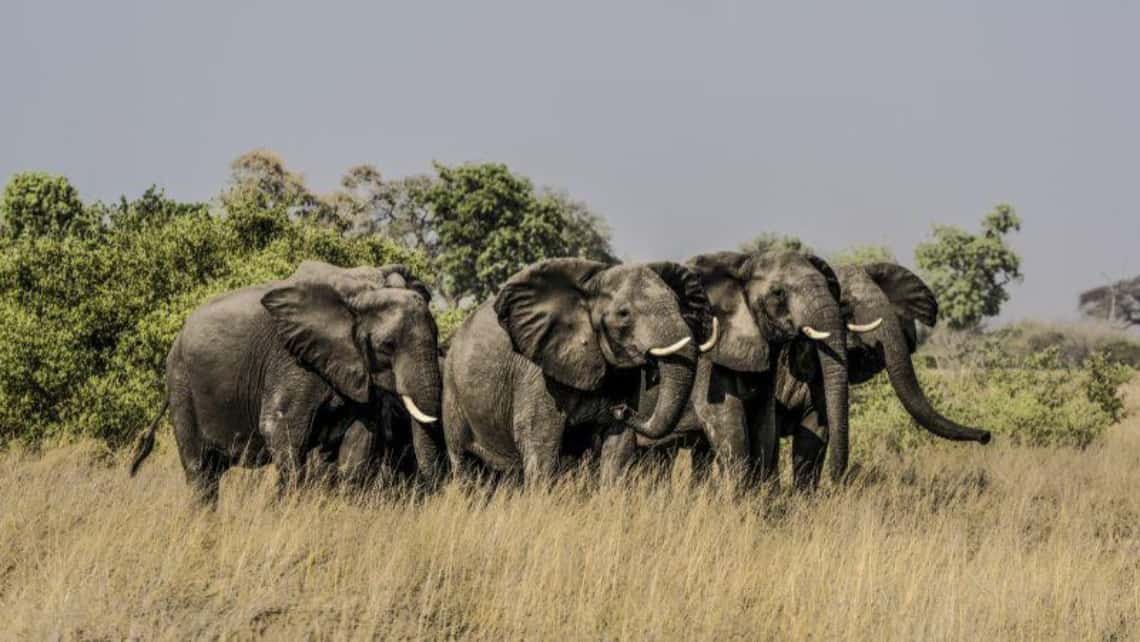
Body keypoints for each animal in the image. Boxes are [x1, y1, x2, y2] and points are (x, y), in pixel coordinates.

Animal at [128, 261, 440, 508]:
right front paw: (283, 508)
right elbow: (281, 428)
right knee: (200, 470)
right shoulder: (291, 359)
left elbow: (359, 439)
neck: (359, 291)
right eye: (387, 346)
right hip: (181, 383)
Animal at [440, 258, 706, 485]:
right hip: (452, 392)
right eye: (623, 314)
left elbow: (619, 446)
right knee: (464, 463)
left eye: (678, 305)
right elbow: (541, 442)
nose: (622, 409)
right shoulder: (539, 374)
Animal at [611, 249, 852, 488]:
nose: (622, 410)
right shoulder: (708, 354)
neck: (744, 264)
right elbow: (727, 425)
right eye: (778, 293)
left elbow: (764, 424)